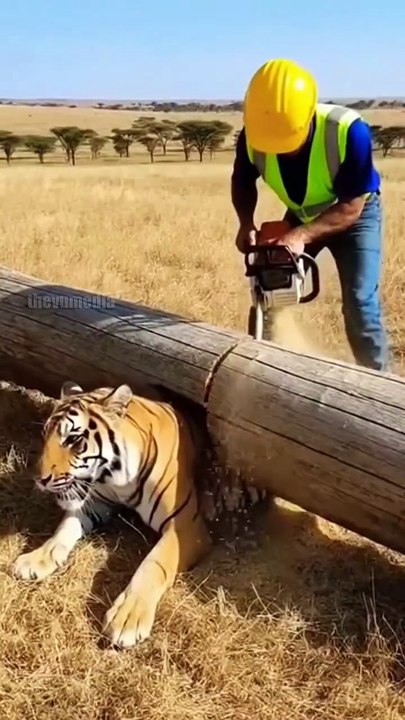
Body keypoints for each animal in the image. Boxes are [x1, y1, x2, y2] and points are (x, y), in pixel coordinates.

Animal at [12, 380, 214, 649]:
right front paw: (37, 558)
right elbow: (64, 529)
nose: (40, 479)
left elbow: (153, 564)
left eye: (73, 440)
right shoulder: (95, 502)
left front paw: (128, 618)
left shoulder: (185, 526)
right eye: (45, 435)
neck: (118, 480)